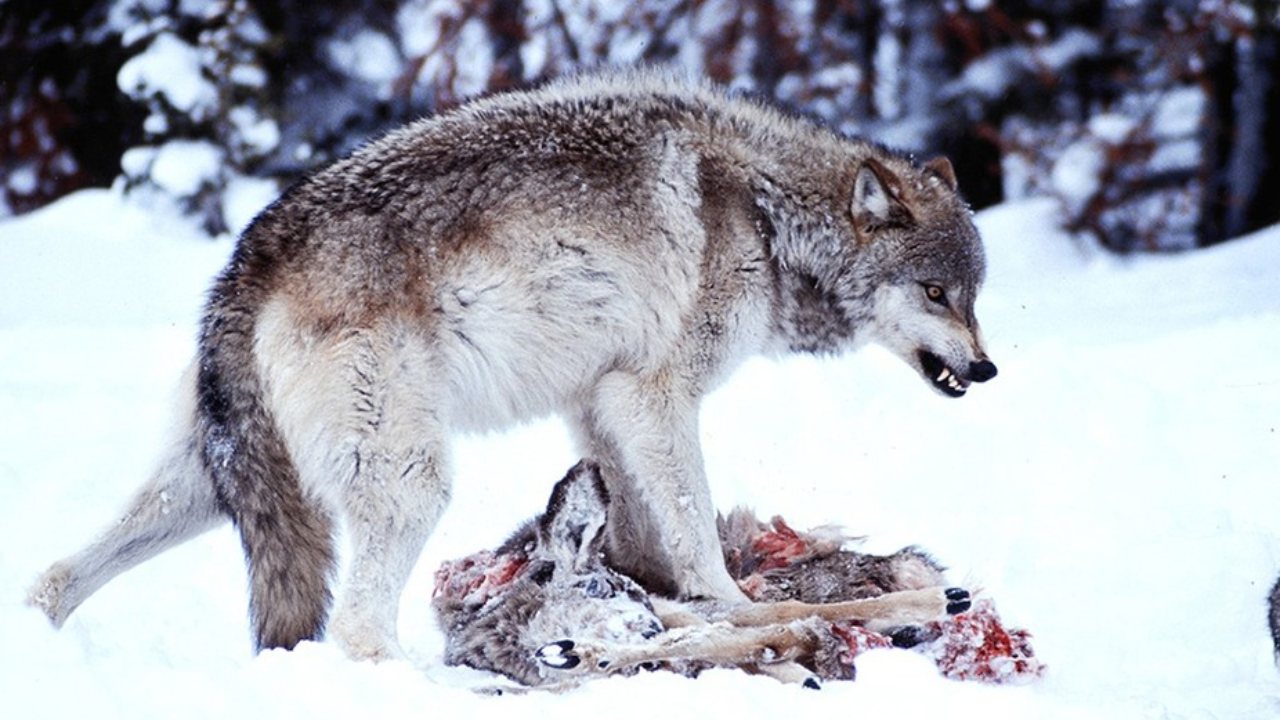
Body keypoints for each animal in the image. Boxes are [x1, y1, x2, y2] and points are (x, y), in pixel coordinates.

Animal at [24, 68, 993, 661]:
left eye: (975, 294)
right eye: (935, 292)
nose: (985, 371)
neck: (766, 214)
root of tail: (248, 259)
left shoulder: (601, 405)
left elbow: (644, 533)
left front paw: (659, 602)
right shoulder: (653, 396)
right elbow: (693, 524)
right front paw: (741, 610)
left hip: (215, 487)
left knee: (56, 576)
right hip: (410, 479)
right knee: (359, 628)